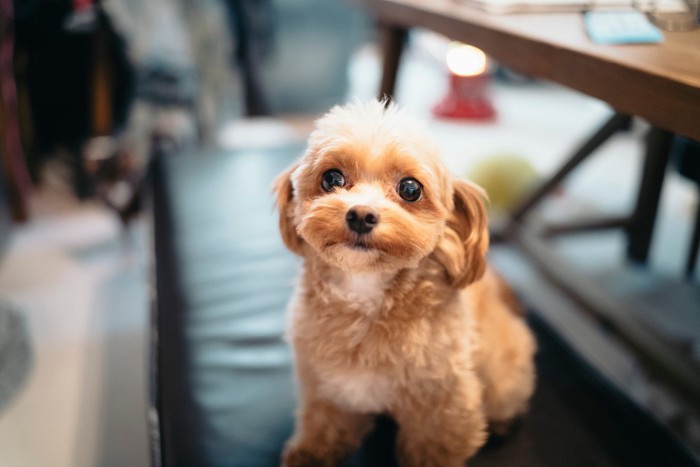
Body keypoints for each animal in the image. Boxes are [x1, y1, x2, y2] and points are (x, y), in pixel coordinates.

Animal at [274, 100, 536, 466]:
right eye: (332, 178)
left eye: (410, 189)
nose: (361, 215)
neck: (365, 293)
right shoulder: (326, 386)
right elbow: (322, 425)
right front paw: (309, 454)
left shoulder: (443, 409)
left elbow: (435, 447)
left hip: (502, 376)